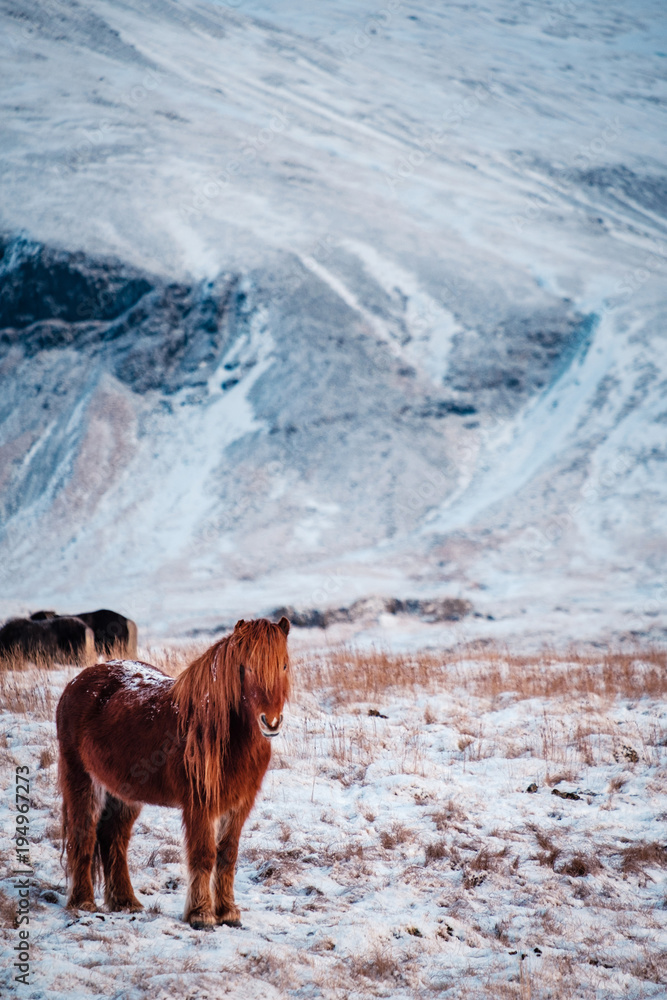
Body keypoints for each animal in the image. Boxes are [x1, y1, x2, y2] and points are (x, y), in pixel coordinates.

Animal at [56, 616, 291, 928]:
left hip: (123, 792)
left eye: (284, 665)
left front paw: (228, 912)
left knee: (113, 837)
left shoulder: (239, 804)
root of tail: (77, 682)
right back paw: (83, 901)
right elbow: (204, 855)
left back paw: (125, 902)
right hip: (82, 780)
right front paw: (201, 914)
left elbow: (227, 855)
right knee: (84, 834)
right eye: (248, 667)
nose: (271, 721)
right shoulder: (199, 804)